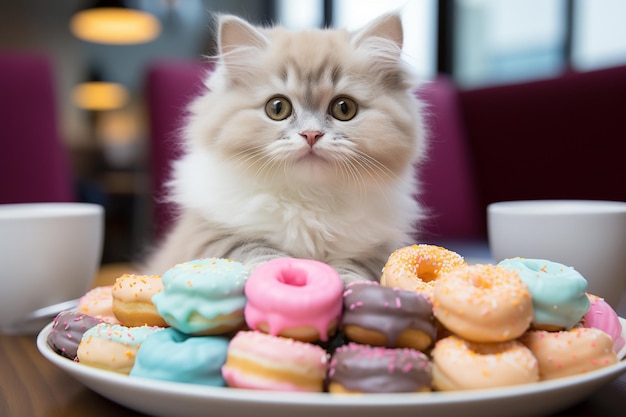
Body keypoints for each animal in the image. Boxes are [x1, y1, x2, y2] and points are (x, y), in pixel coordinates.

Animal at [142, 13, 426, 282]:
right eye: (277, 108)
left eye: (344, 108)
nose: (311, 134)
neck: (309, 197)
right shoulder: (211, 233)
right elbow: (255, 249)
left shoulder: (374, 248)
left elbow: (353, 266)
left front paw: (351, 285)